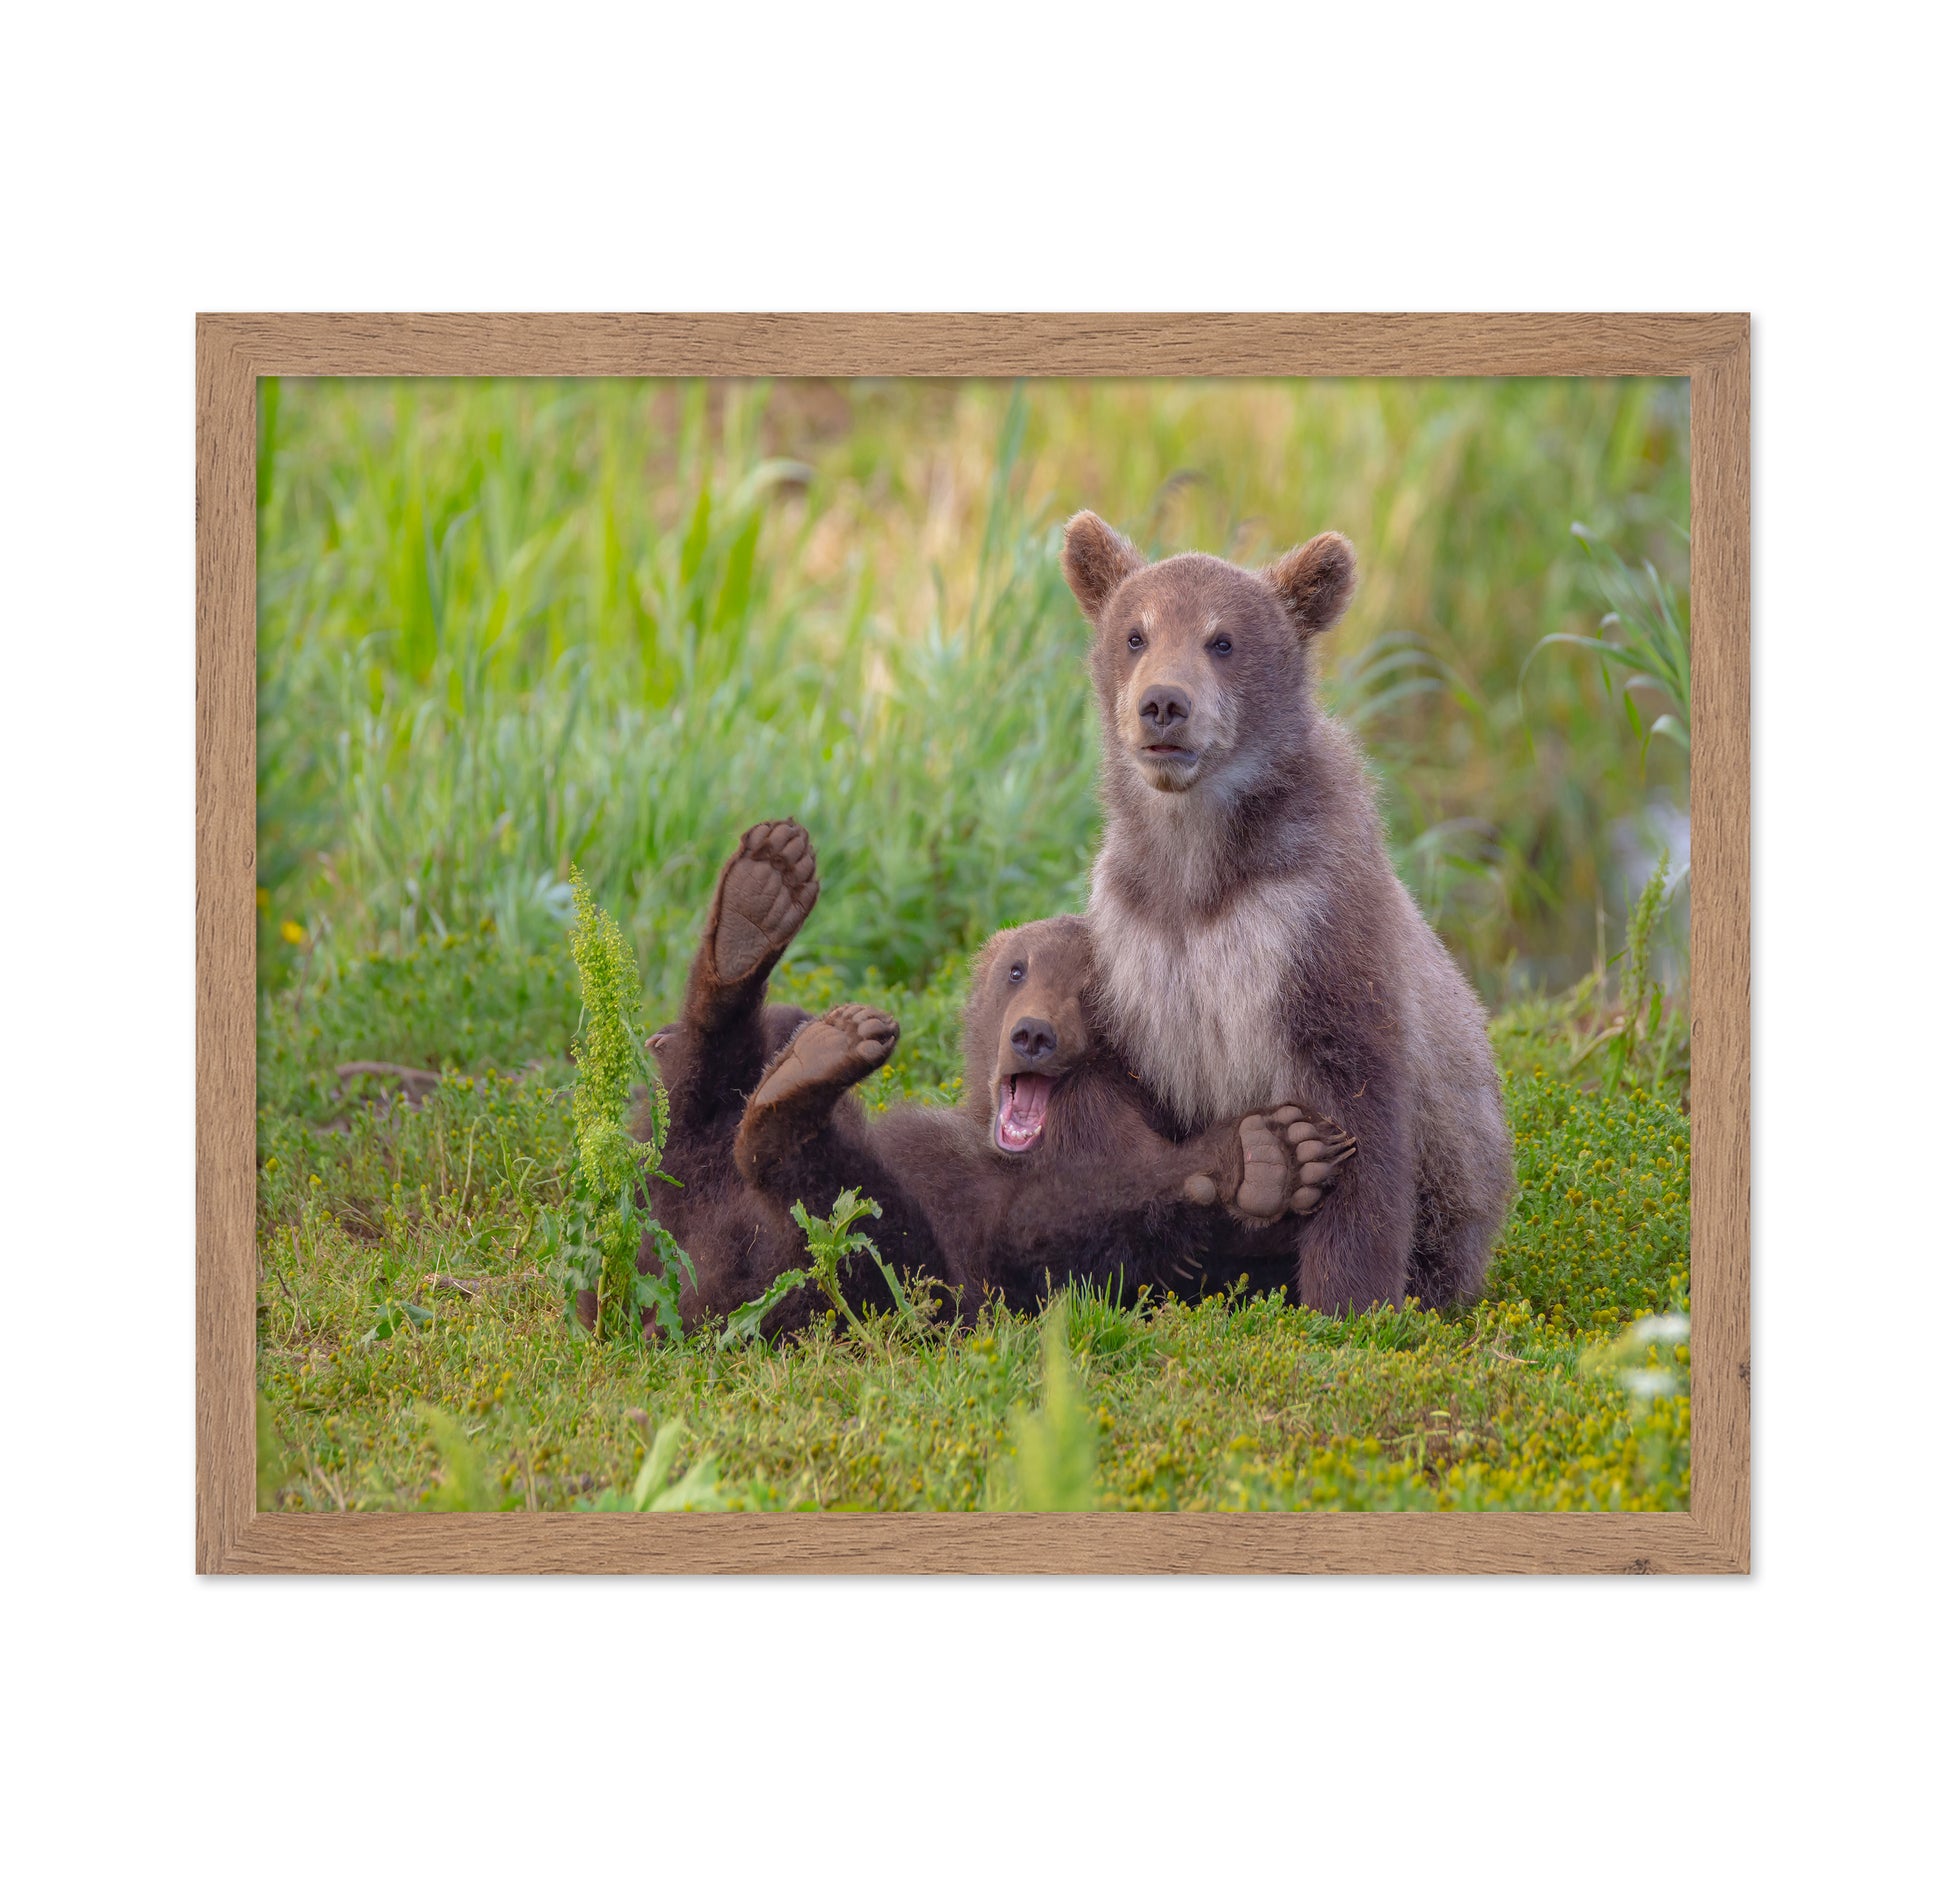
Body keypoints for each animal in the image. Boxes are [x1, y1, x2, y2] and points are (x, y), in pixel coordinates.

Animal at [638, 821, 1353, 1330]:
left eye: (1093, 993)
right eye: (1018, 969)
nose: (1033, 1034)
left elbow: (1051, 1243)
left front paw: (1264, 1155)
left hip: (810, 1282)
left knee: (853, 1234)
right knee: (691, 1111)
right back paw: (757, 906)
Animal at [1060, 511, 1514, 1313]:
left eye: (1222, 640)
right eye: (1136, 633)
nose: (1163, 704)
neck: (1199, 870)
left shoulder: (1307, 922)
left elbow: (1358, 1106)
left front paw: (1348, 1300)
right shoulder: (1137, 944)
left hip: (1461, 1186)